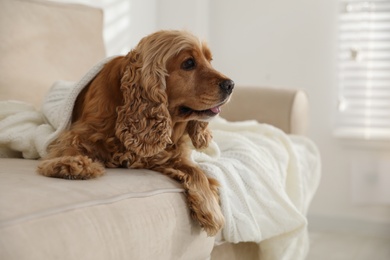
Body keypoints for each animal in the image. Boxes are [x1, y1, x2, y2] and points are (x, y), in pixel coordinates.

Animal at [36, 30, 233, 236]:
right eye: (188, 63)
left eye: (209, 60)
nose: (231, 85)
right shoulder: (79, 133)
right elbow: (69, 146)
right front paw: (70, 164)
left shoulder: (167, 153)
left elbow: (196, 171)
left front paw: (211, 210)